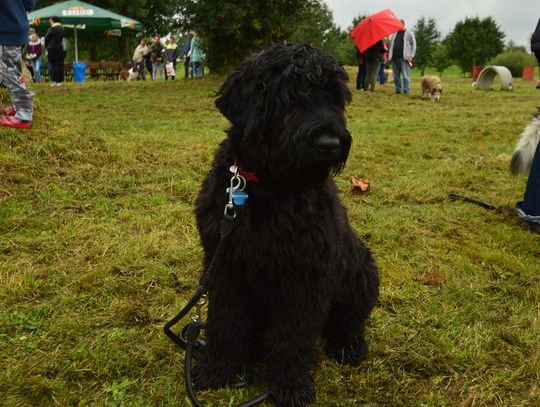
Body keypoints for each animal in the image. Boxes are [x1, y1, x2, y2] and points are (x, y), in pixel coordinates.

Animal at [194, 43, 380, 406]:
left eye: (334, 96)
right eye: (290, 95)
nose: (330, 144)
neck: (269, 187)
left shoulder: (305, 277)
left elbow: (293, 336)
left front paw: (290, 386)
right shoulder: (225, 267)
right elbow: (225, 321)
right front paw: (218, 369)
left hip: (362, 274)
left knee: (348, 321)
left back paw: (348, 346)